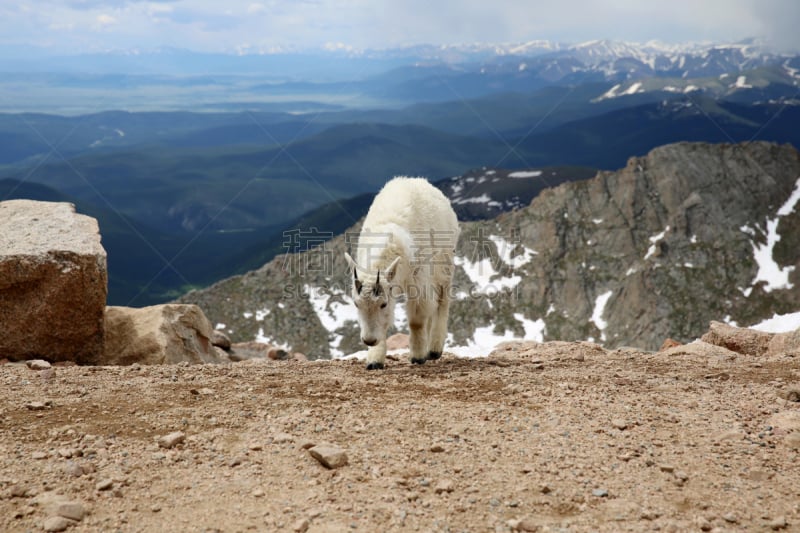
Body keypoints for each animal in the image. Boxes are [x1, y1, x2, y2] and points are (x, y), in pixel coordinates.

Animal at [342, 177, 460, 368]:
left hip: (445, 264)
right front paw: (374, 360)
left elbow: (416, 320)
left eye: (383, 304)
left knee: (442, 301)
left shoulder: (418, 279)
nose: (369, 340)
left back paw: (434, 349)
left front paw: (418, 356)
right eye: (356, 304)